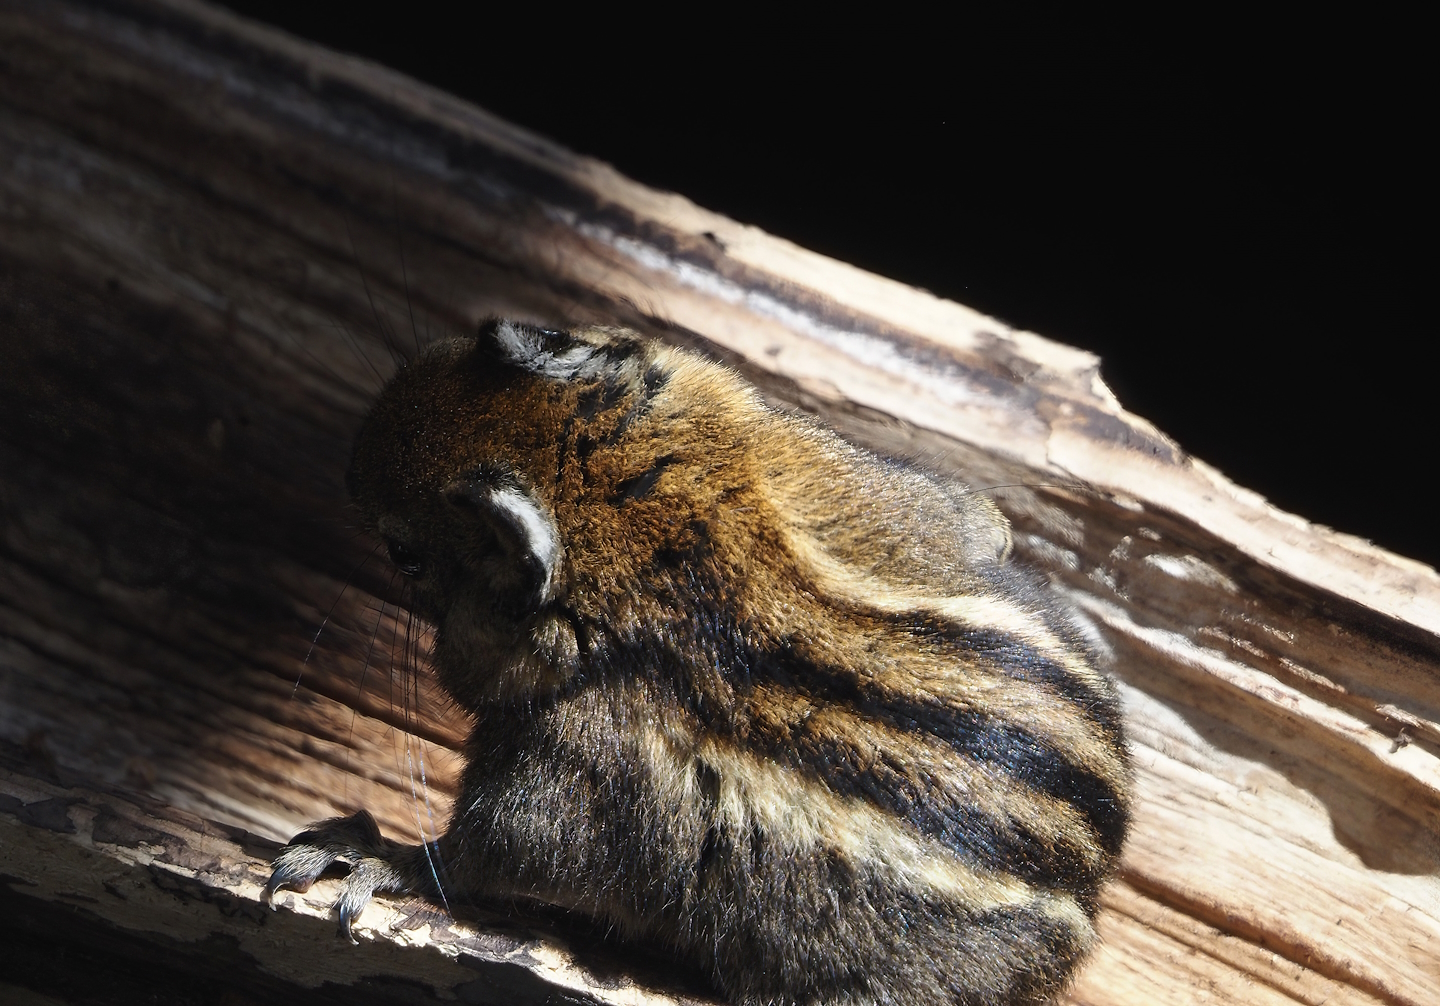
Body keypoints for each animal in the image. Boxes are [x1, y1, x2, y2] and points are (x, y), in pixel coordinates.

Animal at [265, 320, 1130, 1006]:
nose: (350, 463)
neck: (663, 525)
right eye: (516, 334)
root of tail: (1090, 887)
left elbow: (479, 856)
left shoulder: (571, 772)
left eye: (405, 555)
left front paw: (368, 854)